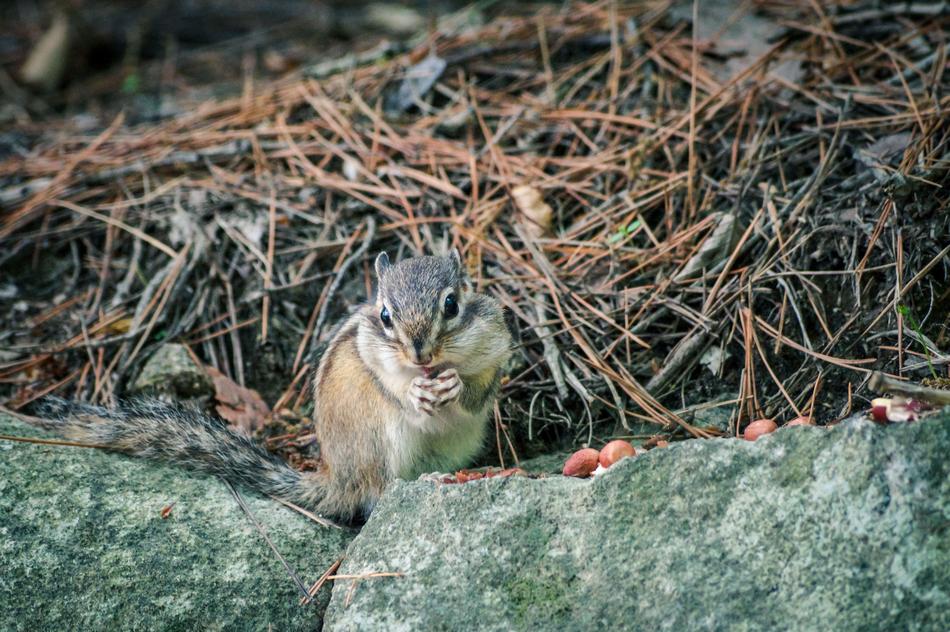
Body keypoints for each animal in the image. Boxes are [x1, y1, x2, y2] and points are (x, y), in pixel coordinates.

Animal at [31, 250, 515, 522]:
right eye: (385, 315)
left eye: (451, 305)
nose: (419, 356)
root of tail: (337, 479)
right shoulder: (372, 355)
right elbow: (391, 384)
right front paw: (416, 393)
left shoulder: (494, 345)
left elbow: (480, 390)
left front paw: (455, 386)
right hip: (381, 445)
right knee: (380, 492)